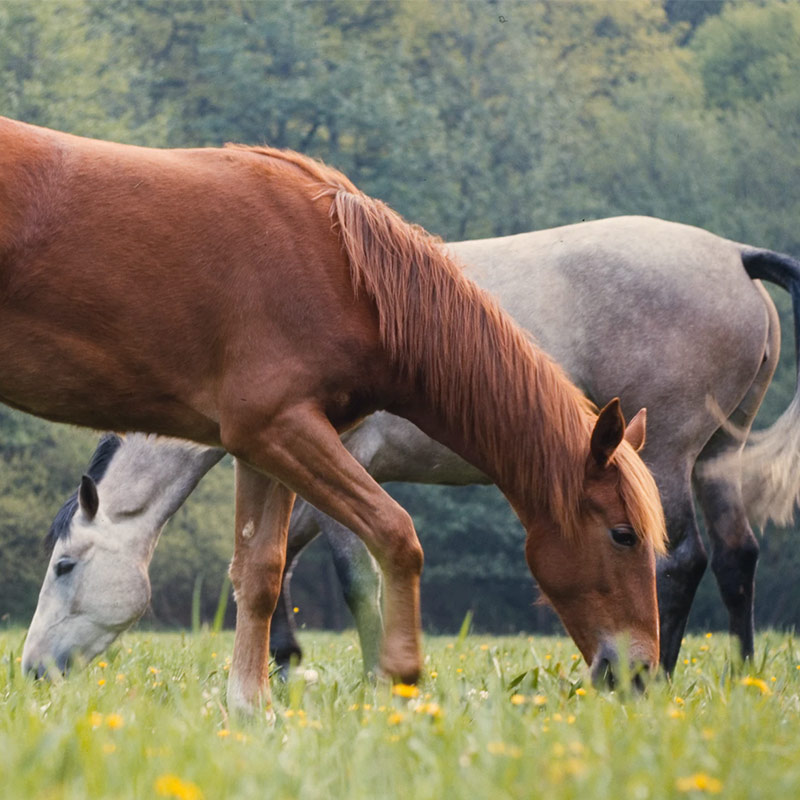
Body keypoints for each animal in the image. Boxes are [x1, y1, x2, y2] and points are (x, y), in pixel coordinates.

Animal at [4, 117, 664, 712]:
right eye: (623, 535)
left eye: (64, 565)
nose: (637, 673)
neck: (345, 272)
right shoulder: (284, 432)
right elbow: (393, 537)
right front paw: (398, 676)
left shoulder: (262, 445)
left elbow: (260, 573)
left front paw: (252, 707)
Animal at [23, 217, 800, 676]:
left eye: (64, 566)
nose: (33, 669)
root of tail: (734, 256)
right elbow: (272, 564)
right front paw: (286, 665)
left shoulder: (337, 466)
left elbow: (350, 573)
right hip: (714, 456)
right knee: (736, 558)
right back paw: (742, 674)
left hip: (663, 453)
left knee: (681, 560)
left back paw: (654, 671)